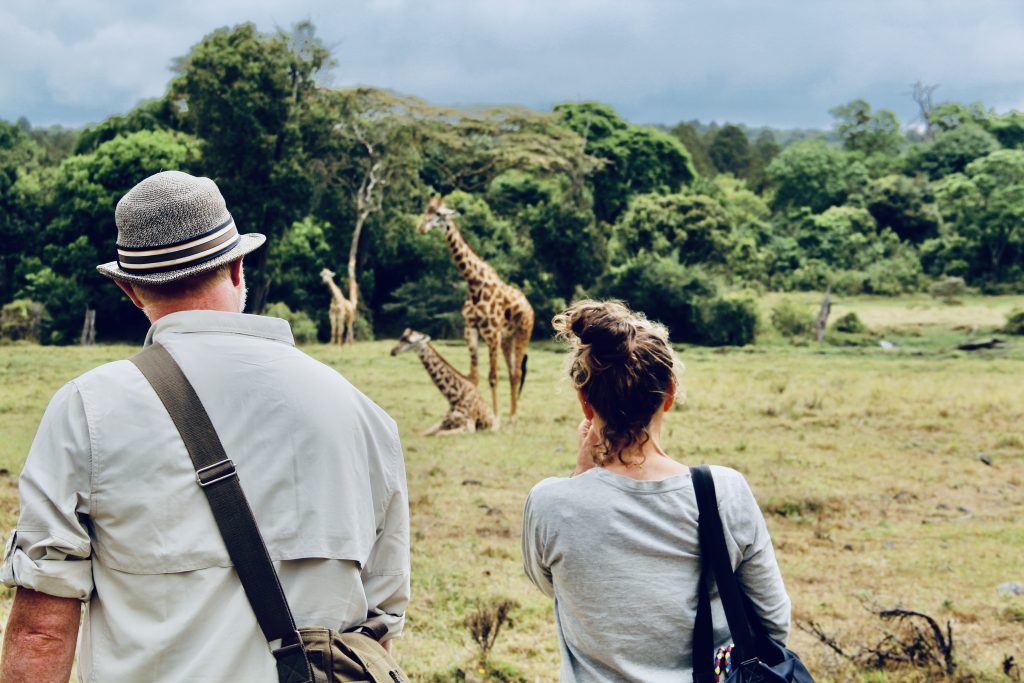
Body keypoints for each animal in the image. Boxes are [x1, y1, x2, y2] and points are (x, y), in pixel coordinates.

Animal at [413, 194, 532, 423]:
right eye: (425, 211)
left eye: (439, 214)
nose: (421, 227)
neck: (474, 283)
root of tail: (529, 307)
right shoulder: (471, 330)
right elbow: (474, 376)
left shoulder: (491, 333)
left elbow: (493, 377)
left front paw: (495, 417)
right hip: (507, 339)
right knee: (512, 373)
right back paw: (511, 415)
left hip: (522, 334)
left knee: (516, 373)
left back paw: (513, 417)